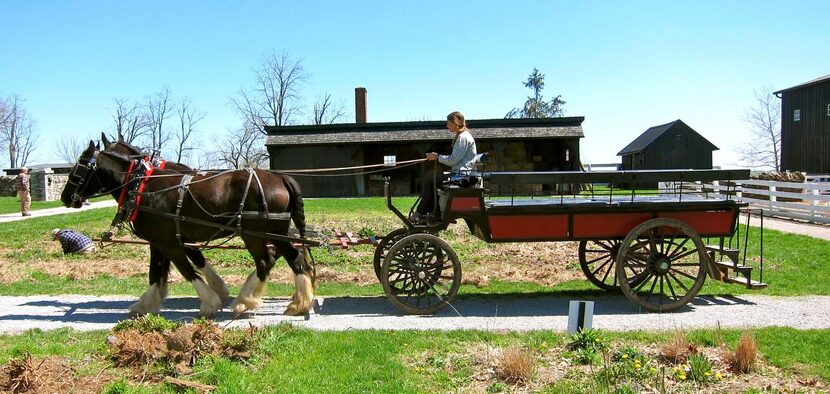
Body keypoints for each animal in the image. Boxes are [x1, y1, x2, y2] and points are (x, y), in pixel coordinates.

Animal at [61, 139, 316, 318]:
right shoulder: (162, 241)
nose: (64, 197)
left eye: (79, 167)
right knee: (293, 259)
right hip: (276, 232)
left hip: (255, 234)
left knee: (266, 261)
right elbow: (158, 272)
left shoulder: (169, 242)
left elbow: (186, 270)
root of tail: (282, 178)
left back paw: (245, 302)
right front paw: (146, 303)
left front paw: (210, 303)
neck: (141, 186)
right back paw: (298, 303)